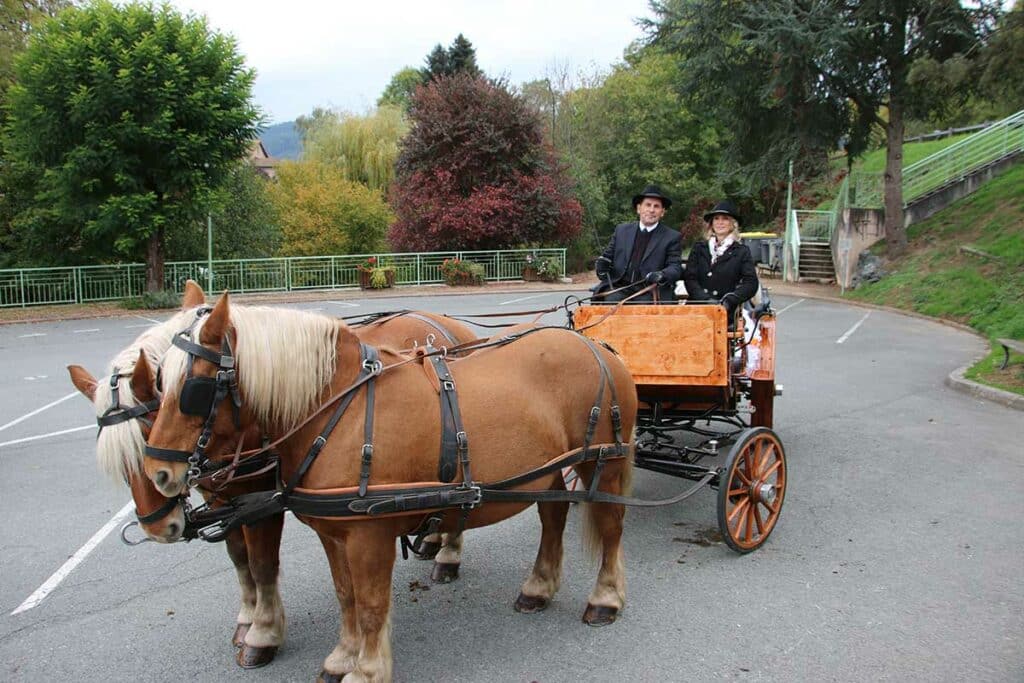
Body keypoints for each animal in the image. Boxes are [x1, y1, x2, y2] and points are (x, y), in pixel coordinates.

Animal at [70, 282, 477, 671]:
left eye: (144, 433)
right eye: (118, 463)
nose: (158, 527)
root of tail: (441, 322)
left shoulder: (261, 497)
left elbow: (262, 563)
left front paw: (263, 633)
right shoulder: (223, 496)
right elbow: (239, 558)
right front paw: (247, 619)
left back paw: (448, 554)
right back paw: (434, 539)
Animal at [140, 294, 634, 683]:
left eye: (195, 387)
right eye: (159, 381)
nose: (157, 473)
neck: (339, 407)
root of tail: (598, 346)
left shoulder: (369, 534)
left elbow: (372, 603)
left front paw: (366, 670)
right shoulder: (333, 533)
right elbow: (347, 597)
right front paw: (342, 657)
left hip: (604, 462)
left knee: (611, 527)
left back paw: (605, 598)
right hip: (548, 470)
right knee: (553, 516)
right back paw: (538, 587)